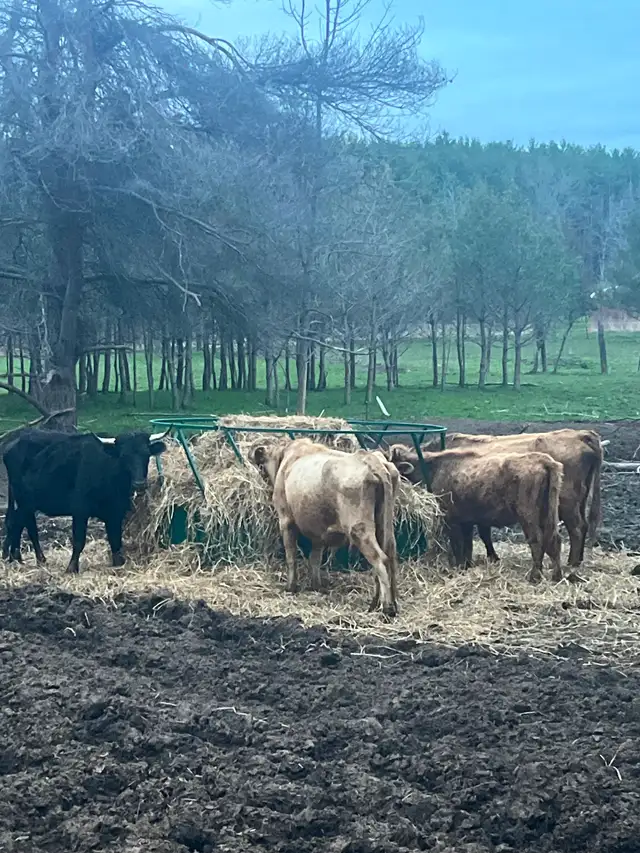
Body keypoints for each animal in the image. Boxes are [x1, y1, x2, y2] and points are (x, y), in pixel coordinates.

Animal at [2, 429, 168, 574]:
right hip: (24, 500)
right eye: (123, 456)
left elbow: (115, 540)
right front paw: (71, 568)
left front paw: (118, 564)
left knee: (19, 523)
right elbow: (79, 540)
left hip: (26, 502)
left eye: (146, 455)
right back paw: (27, 558)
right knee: (22, 524)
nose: (140, 484)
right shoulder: (80, 510)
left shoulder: (115, 512)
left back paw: (18, 559)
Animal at [251, 438, 400, 617]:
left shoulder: (286, 520)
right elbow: (315, 558)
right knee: (390, 556)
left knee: (381, 559)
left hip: (359, 529)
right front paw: (316, 585)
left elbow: (291, 556)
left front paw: (291, 587)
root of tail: (371, 460)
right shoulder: (318, 530)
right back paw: (380, 603)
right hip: (384, 525)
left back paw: (387, 608)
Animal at [386, 444, 564, 583]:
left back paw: (534, 576)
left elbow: (458, 544)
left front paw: (459, 567)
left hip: (527, 516)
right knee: (554, 540)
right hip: (547, 514)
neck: (435, 468)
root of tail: (544, 460)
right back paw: (557, 576)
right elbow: (468, 545)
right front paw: (467, 565)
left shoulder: (452, 519)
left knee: (537, 540)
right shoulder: (468, 521)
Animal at [419, 429, 602, 567]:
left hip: (566, 503)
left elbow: (481, 534)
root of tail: (582, 434)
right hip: (581, 499)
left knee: (576, 529)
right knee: (584, 525)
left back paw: (572, 562)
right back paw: (578, 560)